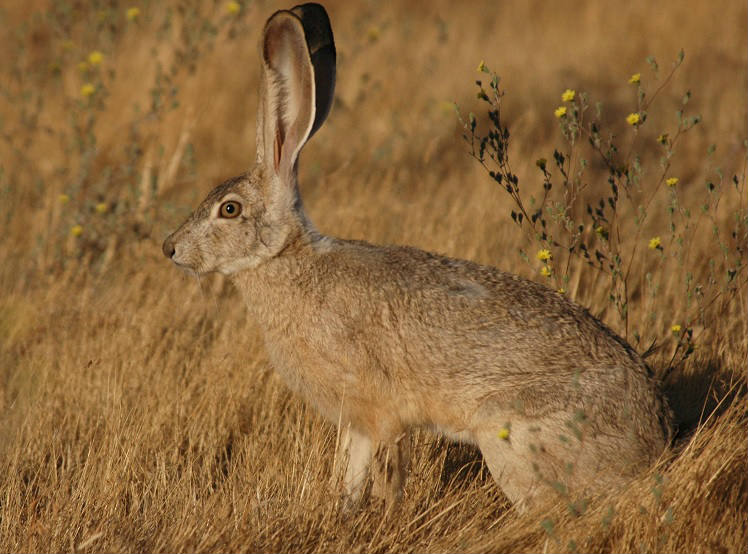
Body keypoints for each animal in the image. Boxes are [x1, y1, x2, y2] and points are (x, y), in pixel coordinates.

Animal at [162, 3, 673, 510]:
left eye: (229, 209)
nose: (171, 248)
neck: (285, 257)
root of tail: (654, 438)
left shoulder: (380, 412)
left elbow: (383, 472)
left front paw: (380, 514)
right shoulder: (356, 423)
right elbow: (349, 473)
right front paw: (344, 511)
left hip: (510, 433)